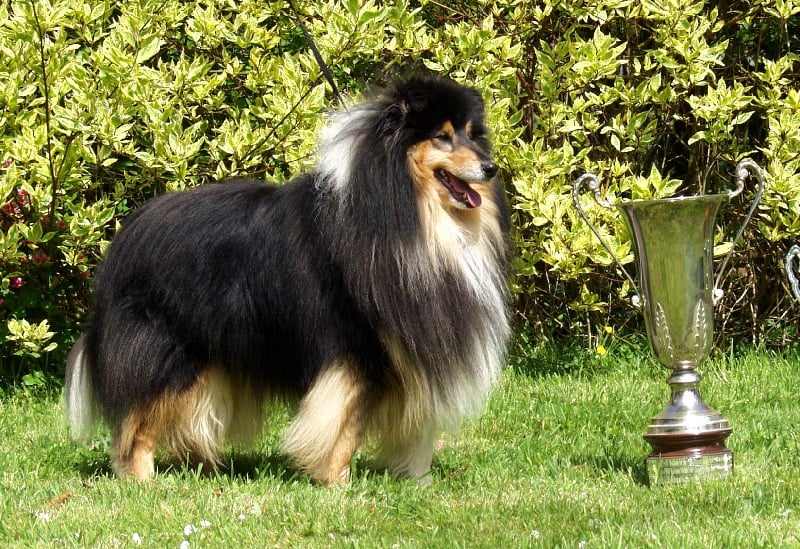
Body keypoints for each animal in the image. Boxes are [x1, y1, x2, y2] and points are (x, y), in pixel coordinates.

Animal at [65, 76, 510, 484]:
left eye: (472, 135)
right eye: (442, 137)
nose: (491, 168)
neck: (410, 213)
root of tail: (124, 240)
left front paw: (415, 481)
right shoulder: (355, 352)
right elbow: (345, 428)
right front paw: (338, 485)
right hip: (171, 353)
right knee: (136, 425)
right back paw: (142, 482)